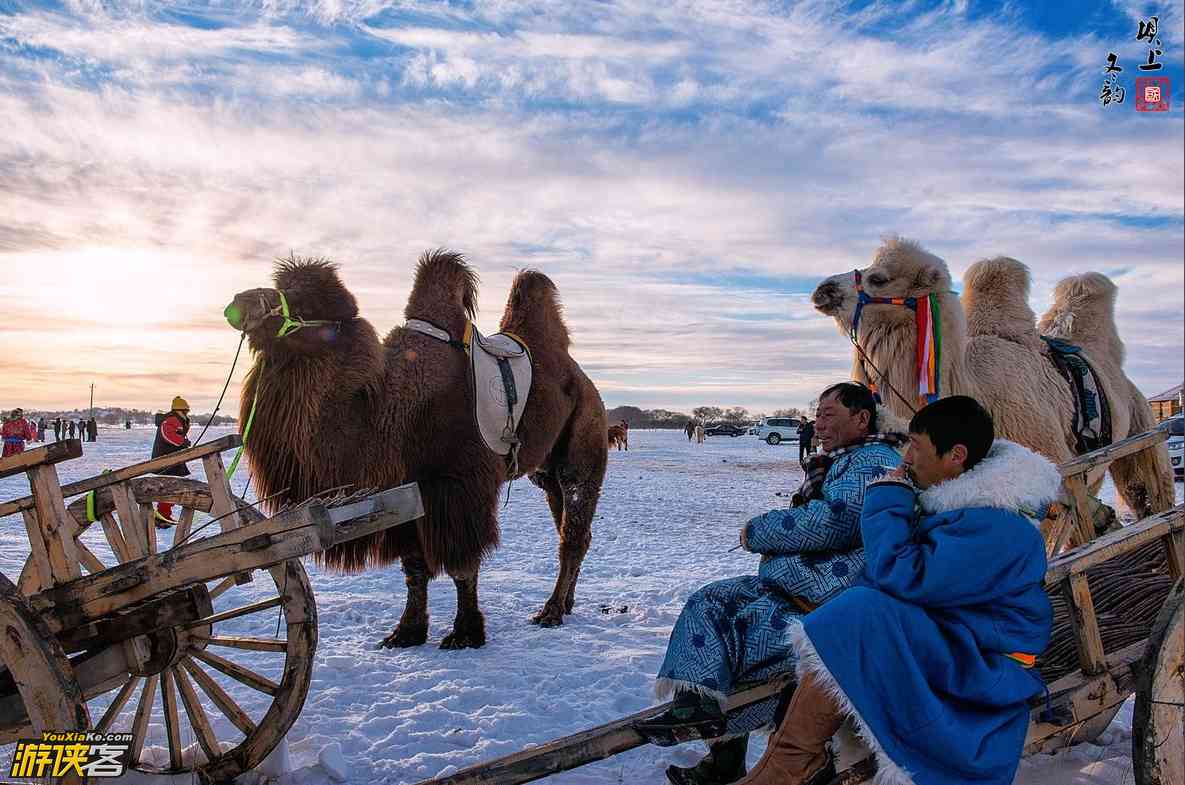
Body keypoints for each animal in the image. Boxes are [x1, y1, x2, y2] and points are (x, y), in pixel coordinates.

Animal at [225, 253, 606, 649]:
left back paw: (552, 611)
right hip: (545, 472)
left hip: (583, 445)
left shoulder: (458, 484)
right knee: (572, 528)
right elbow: (414, 567)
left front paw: (465, 633)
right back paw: (567, 603)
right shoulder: (407, 490)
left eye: (304, 303)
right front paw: (405, 632)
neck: (387, 405)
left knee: (572, 531)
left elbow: (462, 565)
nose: (240, 302)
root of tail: (584, 380)